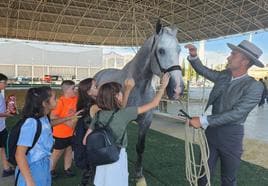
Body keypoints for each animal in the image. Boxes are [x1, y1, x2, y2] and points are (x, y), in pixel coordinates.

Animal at [94, 22, 184, 179]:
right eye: (161, 51)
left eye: (179, 50)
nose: (177, 89)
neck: (138, 87)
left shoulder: (146, 120)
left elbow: (140, 147)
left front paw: (138, 172)